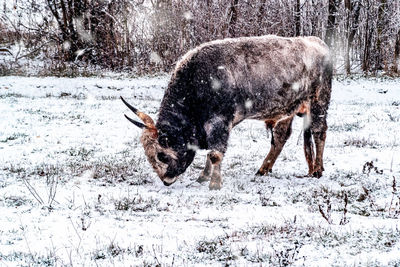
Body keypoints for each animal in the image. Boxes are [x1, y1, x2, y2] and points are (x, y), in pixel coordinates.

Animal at [121, 35, 332, 191]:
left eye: (161, 156)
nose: (166, 180)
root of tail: (317, 42)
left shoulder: (219, 123)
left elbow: (215, 153)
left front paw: (214, 183)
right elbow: (210, 153)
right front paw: (204, 176)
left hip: (319, 103)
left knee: (319, 132)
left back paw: (317, 170)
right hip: (288, 110)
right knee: (280, 138)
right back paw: (264, 168)